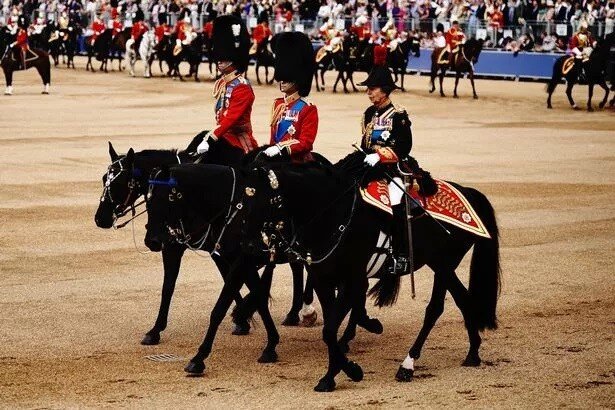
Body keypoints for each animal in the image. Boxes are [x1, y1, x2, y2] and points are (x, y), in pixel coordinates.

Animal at [238, 151, 502, 390]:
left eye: (259, 197)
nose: (248, 245)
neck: (334, 214)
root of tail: (468, 192)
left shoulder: (351, 279)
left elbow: (331, 328)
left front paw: (344, 371)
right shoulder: (324, 279)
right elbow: (330, 329)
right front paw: (339, 372)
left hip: (443, 263)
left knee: (435, 308)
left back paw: (408, 364)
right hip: (442, 264)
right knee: (463, 299)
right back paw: (473, 353)